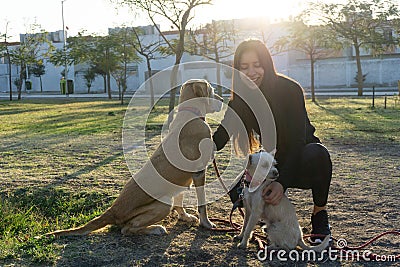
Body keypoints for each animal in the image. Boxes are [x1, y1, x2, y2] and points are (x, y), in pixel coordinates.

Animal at [47, 79, 222, 237]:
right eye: (212, 90)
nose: (222, 100)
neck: (191, 114)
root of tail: (113, 210)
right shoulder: (199, 172)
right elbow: (202, 205)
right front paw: (206, 223)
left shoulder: (184, 180)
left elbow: (180, 201)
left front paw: (185, 217)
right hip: (163, 203)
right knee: (126, 229)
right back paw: (154, 229)